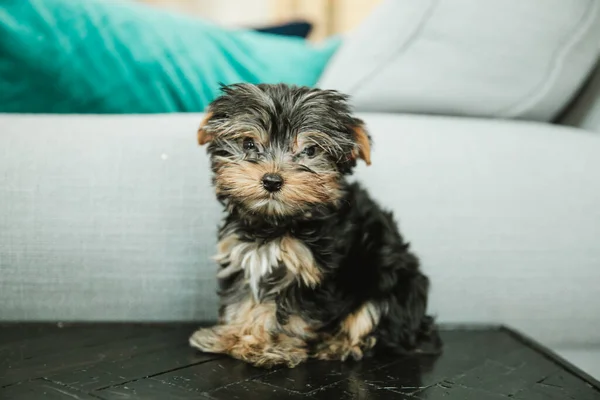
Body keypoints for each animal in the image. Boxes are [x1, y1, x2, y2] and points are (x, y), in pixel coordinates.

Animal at [191, 83, 440, 368]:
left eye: (310, 151)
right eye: (248, 143)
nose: (272, 180)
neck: (276, 224)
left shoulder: (311, 271)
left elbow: (289, 311)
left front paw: (270, 346)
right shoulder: (243, 255)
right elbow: (242, 299)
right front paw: (233, 335)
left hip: (390, 285)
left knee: (372, 322)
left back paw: (338, 346)